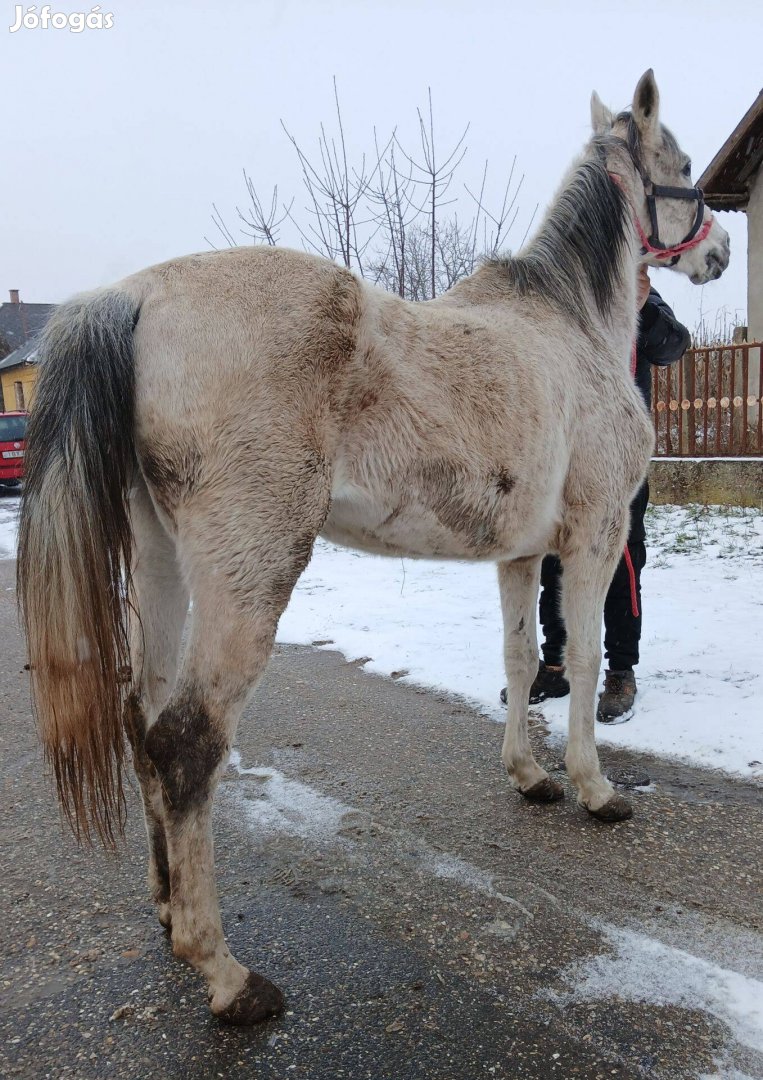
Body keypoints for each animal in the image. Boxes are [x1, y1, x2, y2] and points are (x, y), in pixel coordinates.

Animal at [17, 71, 726, 1023]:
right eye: (681, 168)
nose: (719, 250)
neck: (568, 326)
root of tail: (133, 298)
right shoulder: (593, 538)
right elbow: (580, 659)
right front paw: (592, 787)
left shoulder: (518, 555)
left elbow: (518, 659)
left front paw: (529, 776)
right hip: (249, 575)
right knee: (187, 743)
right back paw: (225, 974)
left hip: (159, 559)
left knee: (142, 717)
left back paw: (168, 909)